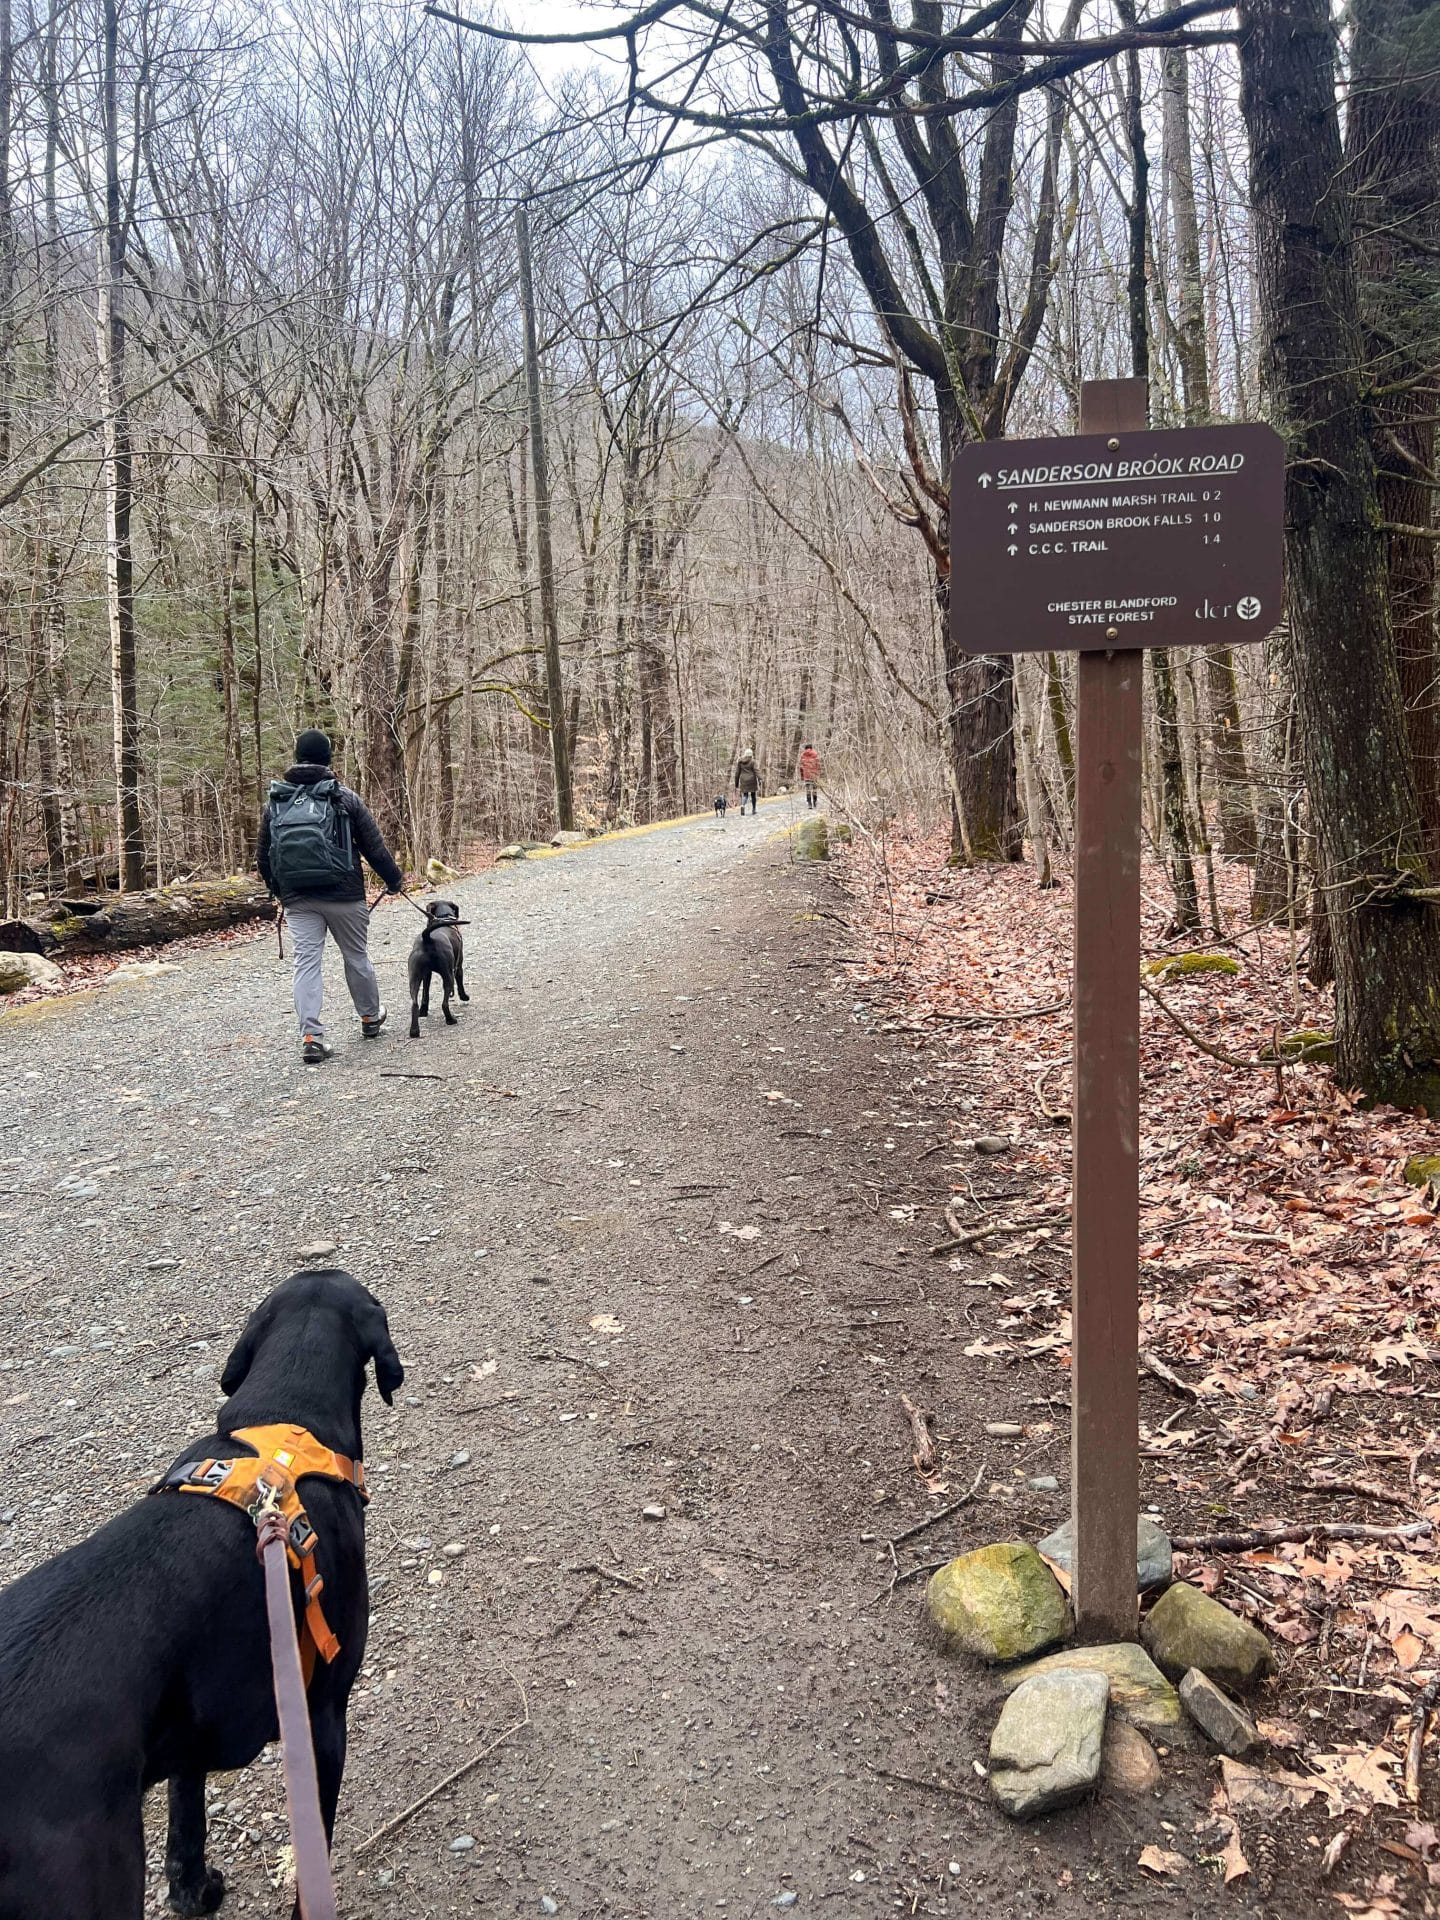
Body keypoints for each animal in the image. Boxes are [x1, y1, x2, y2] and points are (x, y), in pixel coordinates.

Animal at [408, 902, 470, 1044]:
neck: (443, 918)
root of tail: (428, 938)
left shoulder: (427, 975)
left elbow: (425, 994)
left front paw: (424, 1011)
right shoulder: (458, 966)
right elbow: (460, 983)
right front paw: (464, 996)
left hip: (414, 978)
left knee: (414, 1004)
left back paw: (414, 1031)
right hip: (448, 975)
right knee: (444, 1003)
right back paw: (451, 1020)